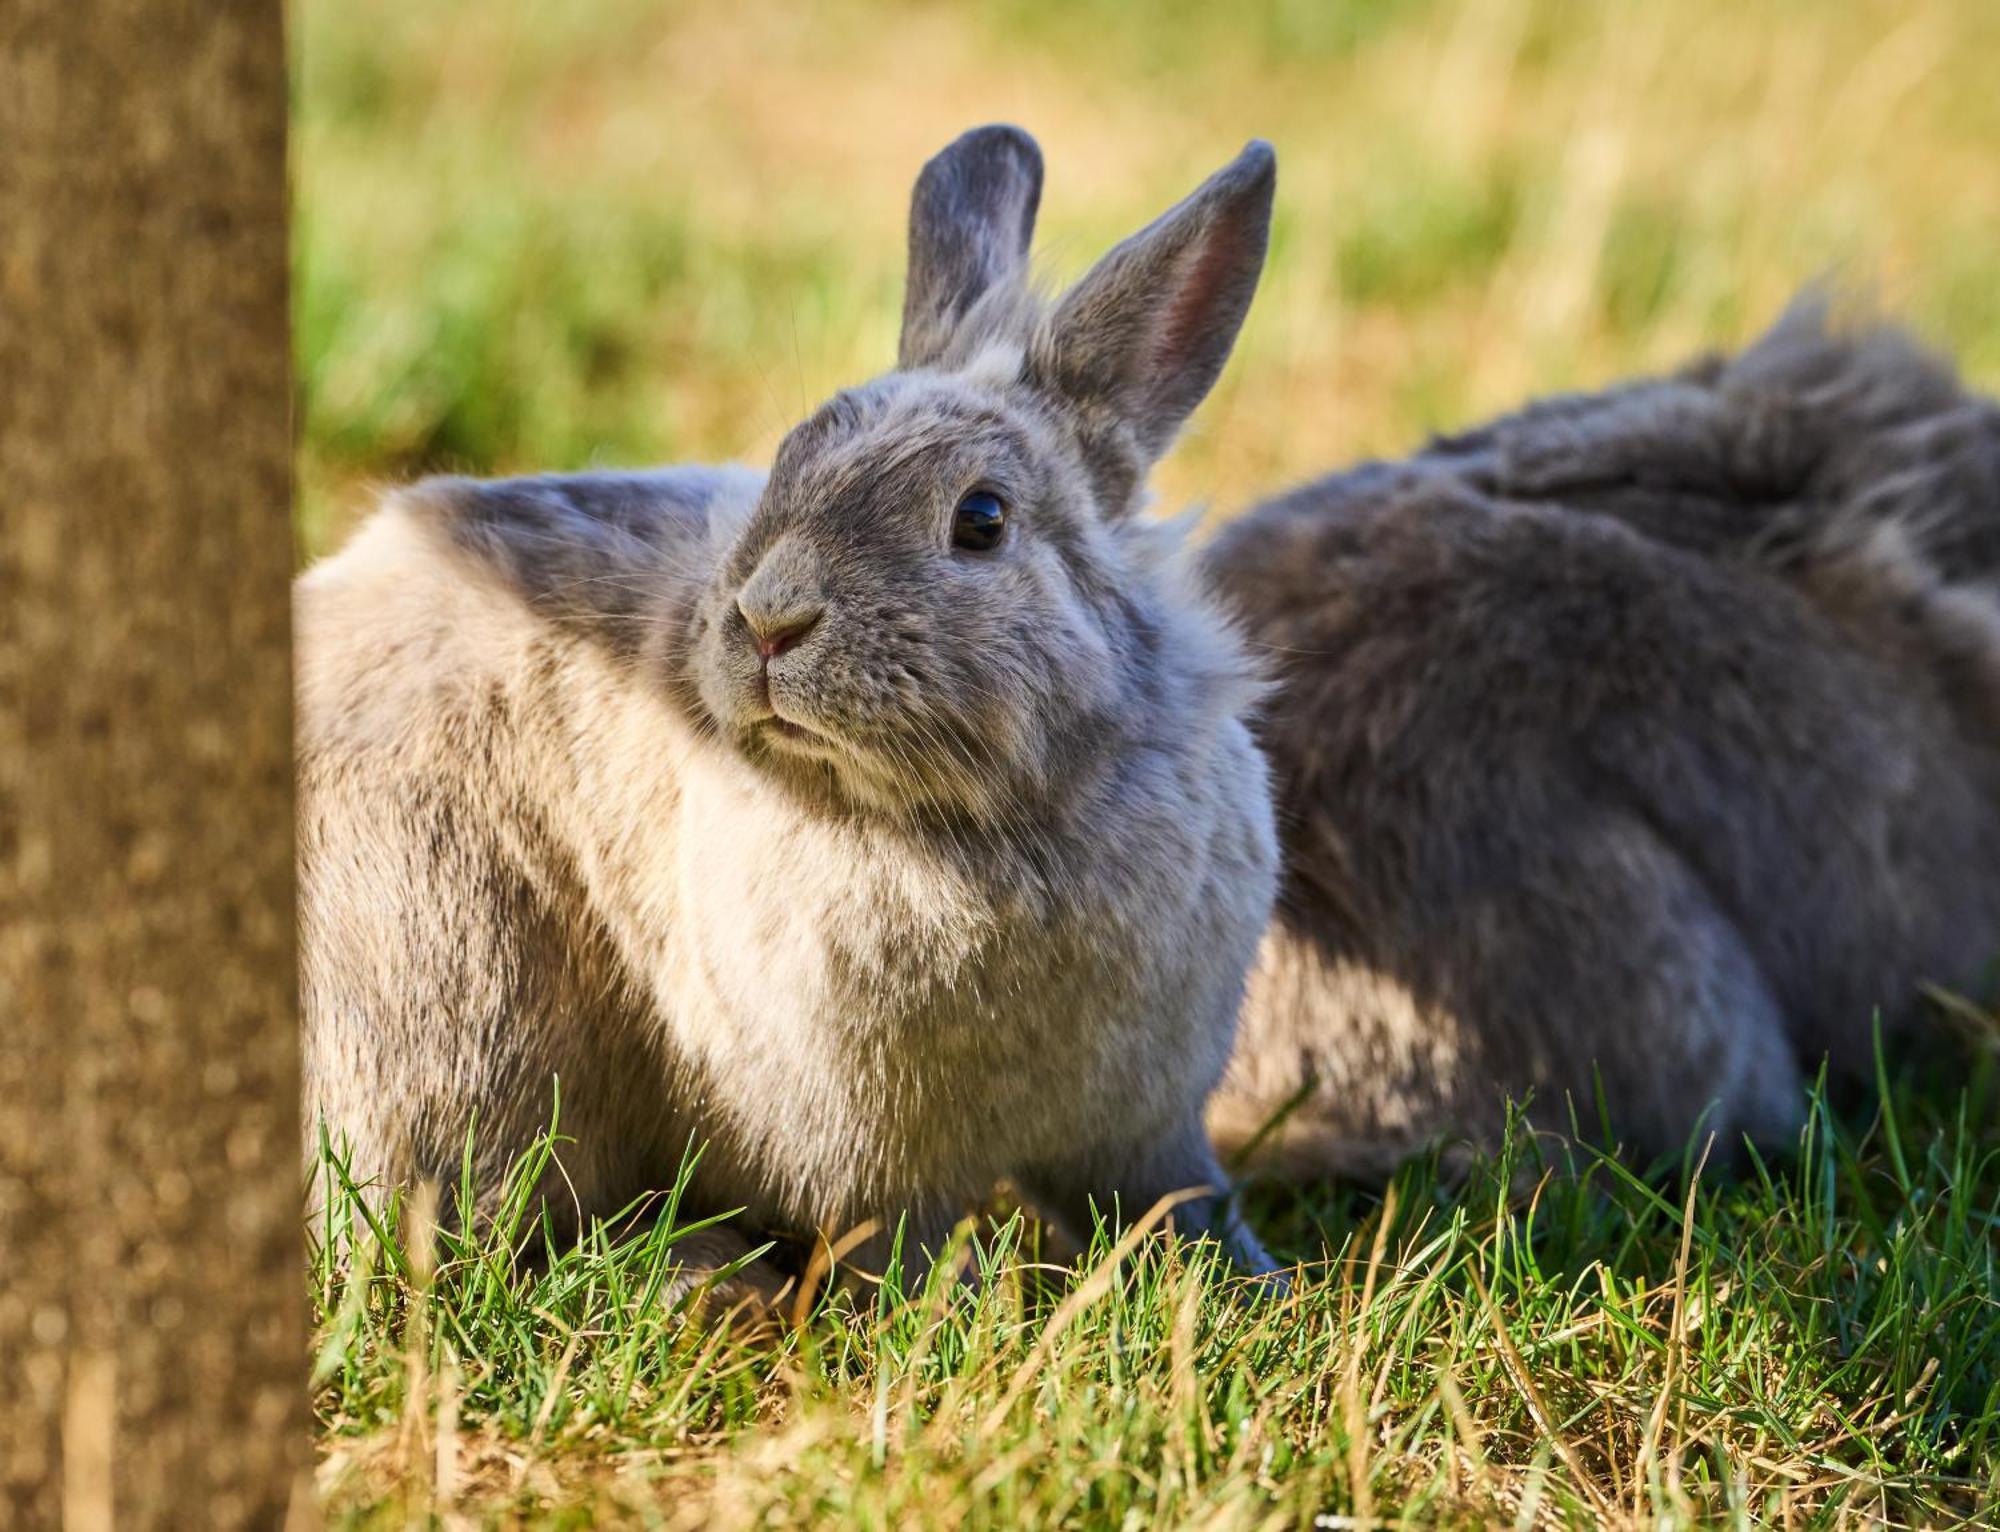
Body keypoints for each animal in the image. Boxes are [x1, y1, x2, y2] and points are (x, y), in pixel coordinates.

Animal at [298, 126, 1296, 1304]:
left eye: (982, 519)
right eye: (785, 463)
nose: (770, 620)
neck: (992, 816)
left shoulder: (1142, 1119)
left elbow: (1175, 1197)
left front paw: (1256, 1282)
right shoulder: (870, 1157)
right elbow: (891, 1243)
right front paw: (940, 1309)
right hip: (457, 1003)